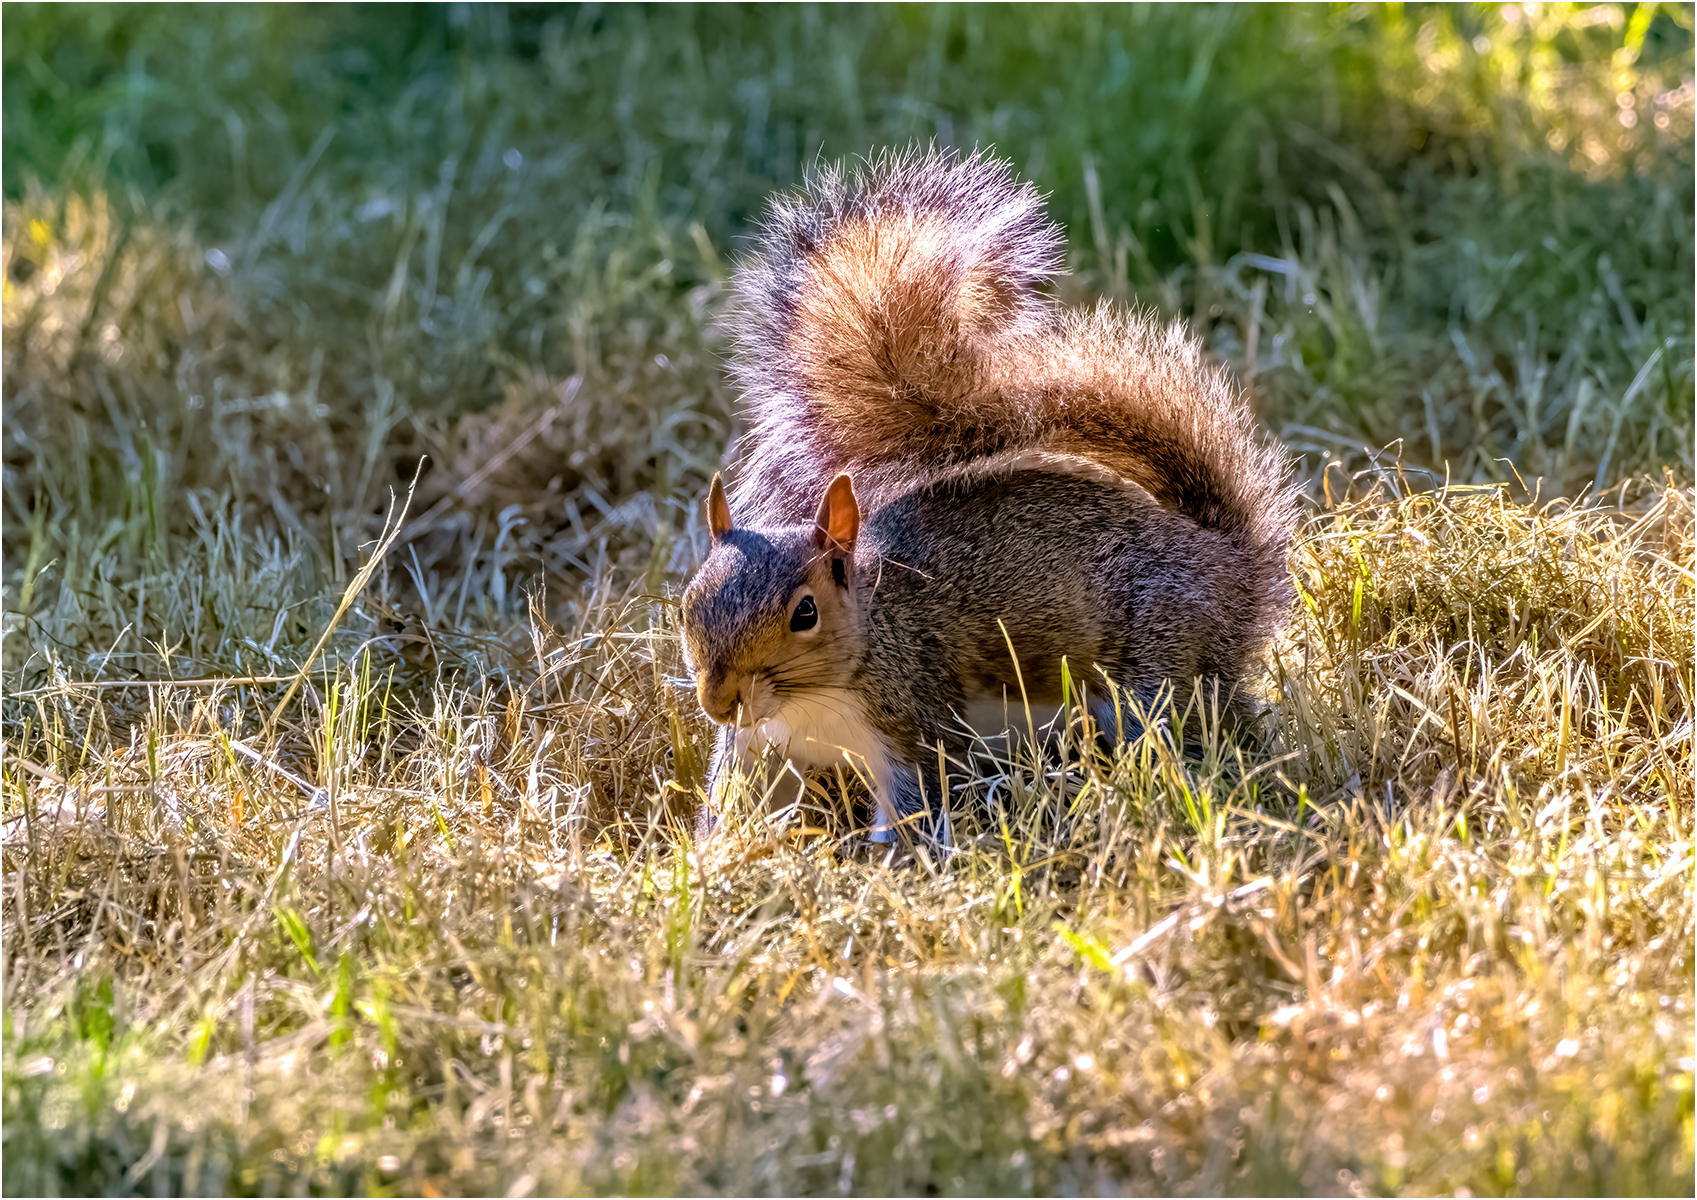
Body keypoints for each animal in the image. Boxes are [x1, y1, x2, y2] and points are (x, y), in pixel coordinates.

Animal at [680, 148, 1296, 842]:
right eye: (688, 604)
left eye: (805, 613)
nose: (718, 702)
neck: (809, 701)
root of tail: (1227, 560)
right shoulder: (758, 748)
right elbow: (734, 806)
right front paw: (708, 853)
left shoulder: (912, 720)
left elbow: (916, 807)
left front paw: (889, 862)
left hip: (1160, 661)